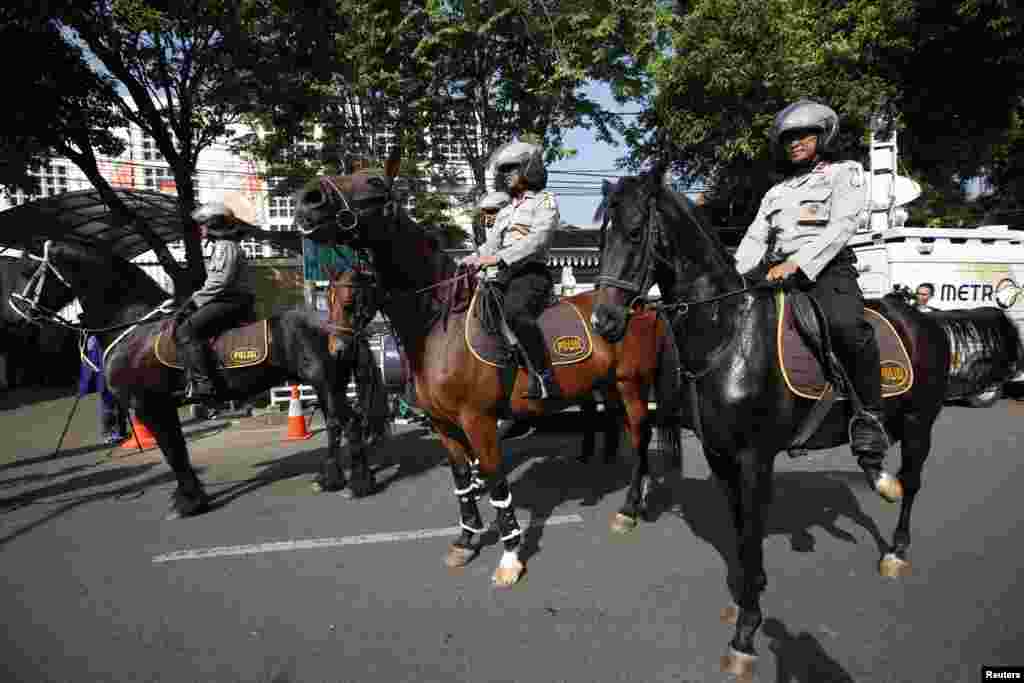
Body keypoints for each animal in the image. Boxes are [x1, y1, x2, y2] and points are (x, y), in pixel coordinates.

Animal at [9, 242, 358, 516]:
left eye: (34, 272)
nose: (18, 311)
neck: (134, 327)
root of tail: (338, 323)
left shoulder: (149, 405)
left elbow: (173, 452)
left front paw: (190, 501)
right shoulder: (161, 405)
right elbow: (177, 449)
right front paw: (193, 496)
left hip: (325, 382)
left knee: (338, 423)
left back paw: (335, 478)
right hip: (328, 383)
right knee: (341, 422)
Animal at [296, 175, 679, 589]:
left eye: (373, 185)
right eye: (331, 300)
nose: (308, 199)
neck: (440, 325)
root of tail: (644, 305)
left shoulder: (478, 420)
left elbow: (496, 482)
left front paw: (510, 556)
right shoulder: (444, 425)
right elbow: (463, 481)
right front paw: (466, 540)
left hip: (632, 385)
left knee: (640, 437)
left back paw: (630, 507)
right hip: (611, 386)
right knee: (622, 428)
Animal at [589, 165, 970, 679]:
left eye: (633, 232)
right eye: (603, 235)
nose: (604, 320)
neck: (727, 334)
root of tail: (926, 318)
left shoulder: (754, 458)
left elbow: (751, 533)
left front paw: (746, 632)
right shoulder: (719, 454)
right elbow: (738, 530)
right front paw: (746, 593)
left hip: (918, 422)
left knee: (912, 482)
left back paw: (896, 550)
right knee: (877, 455)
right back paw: (875, 470)